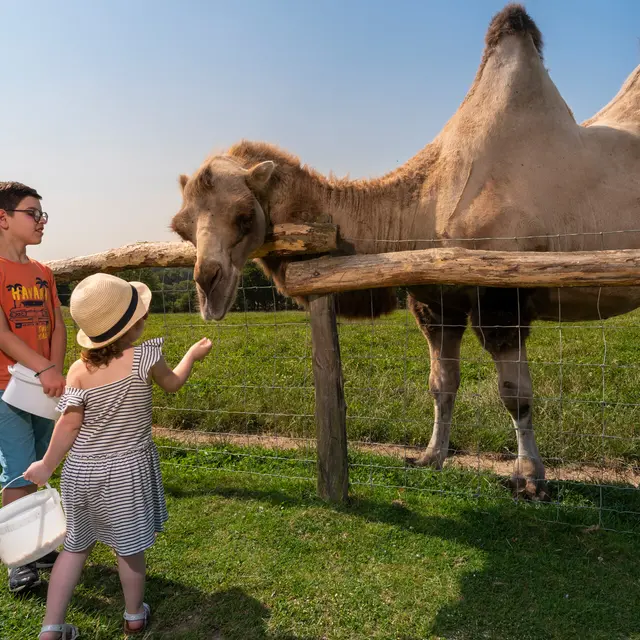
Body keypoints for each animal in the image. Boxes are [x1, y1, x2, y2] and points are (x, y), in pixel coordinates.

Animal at [170, 5, 640, 500]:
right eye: (182, 228)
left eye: (244, 216)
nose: (207, 285)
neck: (425, 203)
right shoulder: (438, 299)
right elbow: (442, 383)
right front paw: (431, 457)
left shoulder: (502, 291)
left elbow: (516, 394)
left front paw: (530, 477)